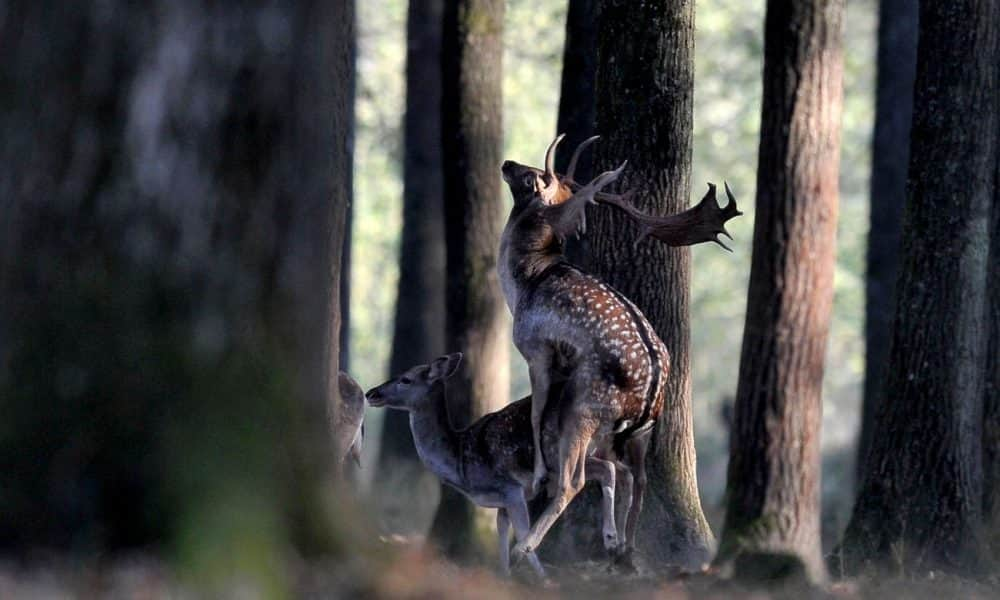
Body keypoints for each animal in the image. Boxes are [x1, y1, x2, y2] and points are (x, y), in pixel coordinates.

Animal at [366, 354, 632, 580]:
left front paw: (541, 578)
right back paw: (616, 542)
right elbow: (501, 537)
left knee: (576, 483)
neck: (460, 463)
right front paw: (504, 577)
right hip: (587, 451)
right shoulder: (502, 502)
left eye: (406, 379)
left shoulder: (511, 488)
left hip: (563, 446)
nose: (371, 393)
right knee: (614, 469)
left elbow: (520, 530)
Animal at [500, 134, 744, 560]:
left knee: (575, 480)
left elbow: (535, 411)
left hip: (584, 404)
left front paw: (539, 472)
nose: (507, 162)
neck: (523, 285)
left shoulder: (536, 350)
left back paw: (527, 547)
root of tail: (651, 395)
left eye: (531, 177)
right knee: (639, 479)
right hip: (640, 432)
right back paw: (624, 547)